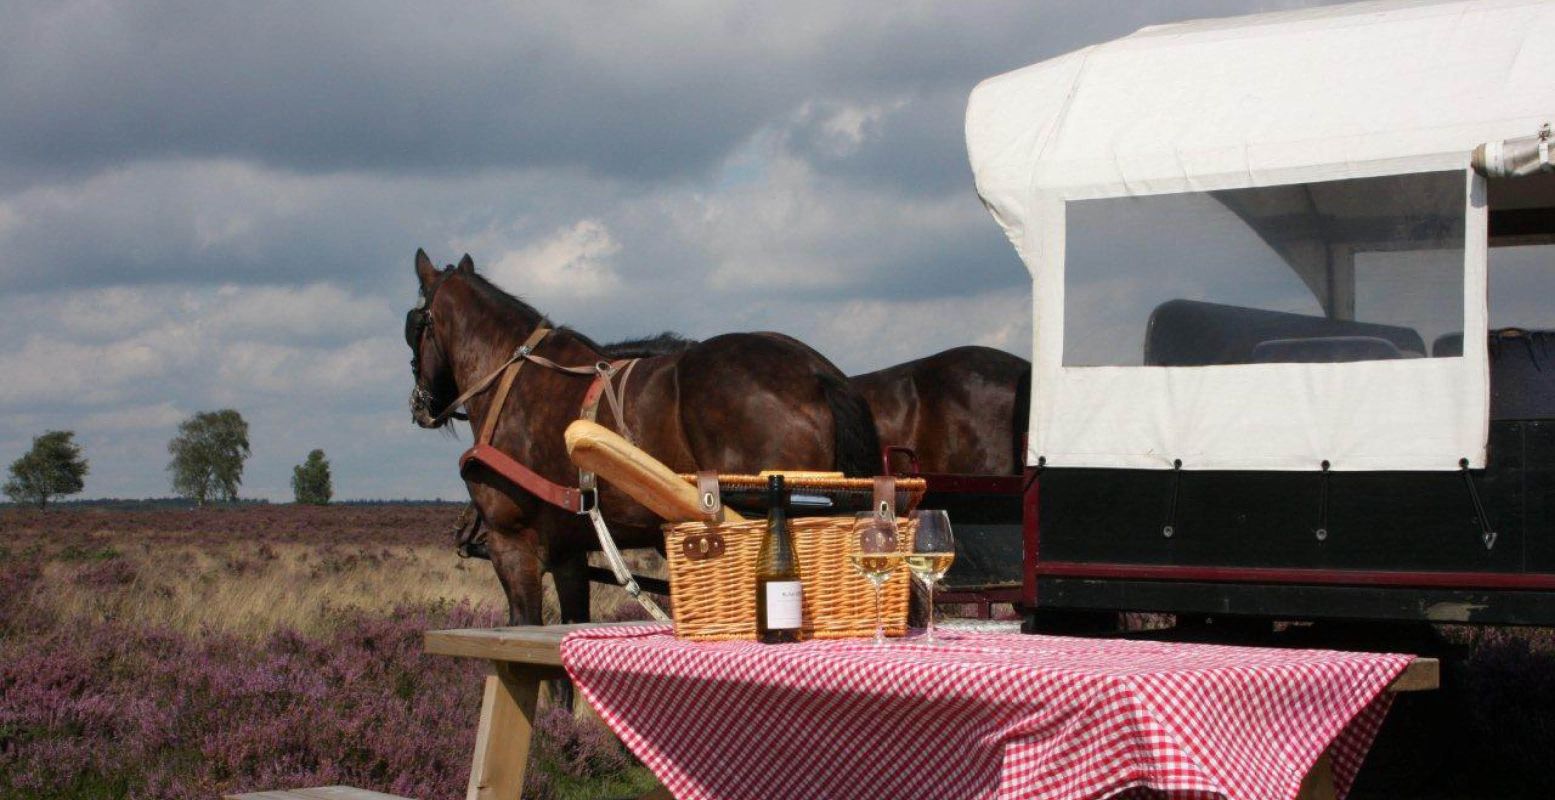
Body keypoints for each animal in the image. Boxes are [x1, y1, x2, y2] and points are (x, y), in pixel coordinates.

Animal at [407, 249, 883, 622]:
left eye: (414, 326)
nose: (420, 404)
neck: (511, 380)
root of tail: (815, 370)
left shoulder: (512, 545)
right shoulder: (568, 553)